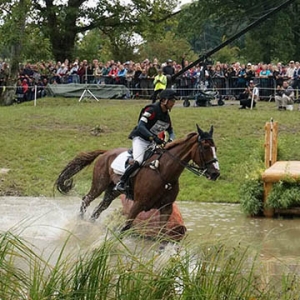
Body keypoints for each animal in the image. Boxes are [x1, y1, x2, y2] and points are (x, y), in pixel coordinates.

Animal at [55, 124, 220, 234]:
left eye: (215, 148)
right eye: (205, 147)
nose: (215, 173)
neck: (164, 173)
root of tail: (106, 152)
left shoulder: (166, 208)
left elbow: (161, 235)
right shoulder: (138, 205)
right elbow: (125, 228)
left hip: (112, 191)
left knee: (100, 207)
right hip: (99, 184)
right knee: (86, 200)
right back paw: (79, 222)